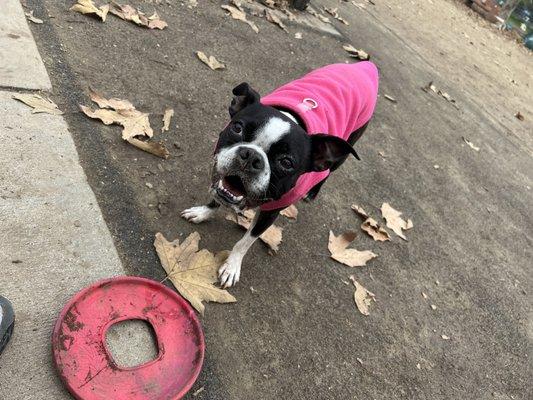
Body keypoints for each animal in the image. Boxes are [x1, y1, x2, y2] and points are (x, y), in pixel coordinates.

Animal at [182, 61, 378, 288]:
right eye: (237, 128)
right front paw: (203, 212)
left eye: (286, 162)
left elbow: (245, 242)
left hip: (344, 149)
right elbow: (217, 198)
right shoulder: (224, 184)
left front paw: (232, 267)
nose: (251, 156)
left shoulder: (270, 213)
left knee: (328, 172)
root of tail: (364, 65)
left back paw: (312, 192)